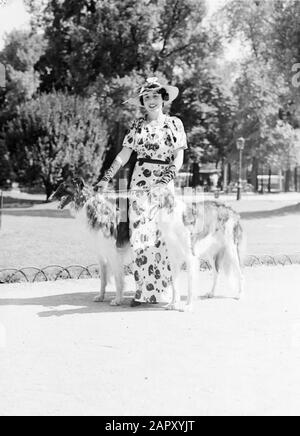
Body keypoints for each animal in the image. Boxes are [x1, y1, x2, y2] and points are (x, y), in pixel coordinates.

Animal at [50, 177, 245, 310]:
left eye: (63, 186)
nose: (51, 196)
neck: (96, 208)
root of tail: (232, 210)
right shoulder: (102, 254)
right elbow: (103, 280)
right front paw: (100, 296)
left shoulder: (114, 253)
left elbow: (119, 281)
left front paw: (117, 299)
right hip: (211, 251)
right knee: (216, 272)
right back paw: (211, 293)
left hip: (229, 249)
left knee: (238, 272)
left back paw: (239, 295)